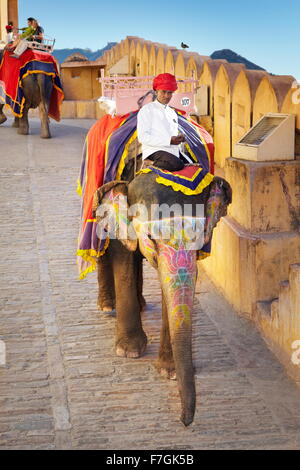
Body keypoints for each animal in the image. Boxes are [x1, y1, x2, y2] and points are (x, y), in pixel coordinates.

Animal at [94, 168, 232, 426]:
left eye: (201, 236)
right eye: (150, 236)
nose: (184, 421)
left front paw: (170, 371)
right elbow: (123, 254)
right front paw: (129, 351)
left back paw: (140, 304)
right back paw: (107, 305)